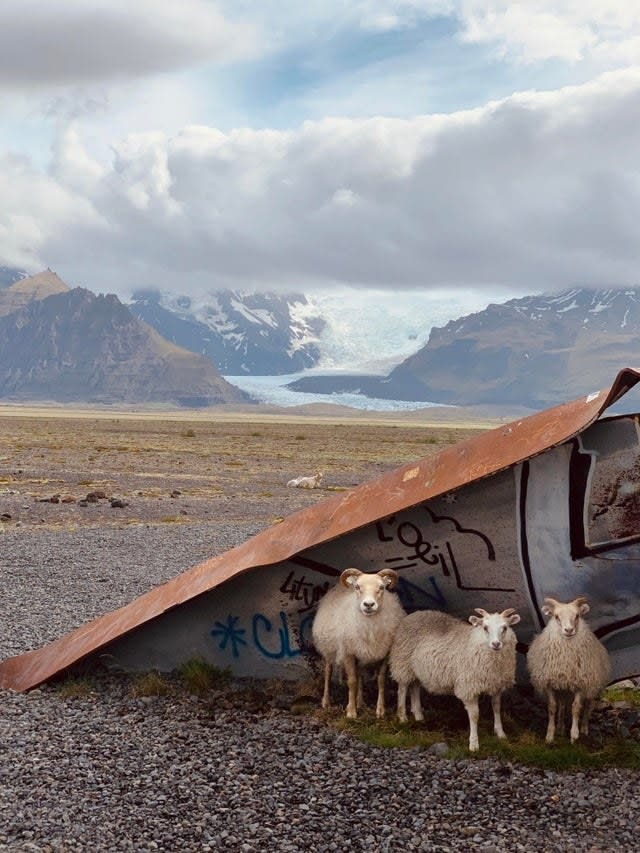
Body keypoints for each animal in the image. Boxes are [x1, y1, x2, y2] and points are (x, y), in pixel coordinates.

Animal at [310, 564, 404, 720]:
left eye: (382, 587)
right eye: (358, 587)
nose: (368, 604)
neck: (370, 627)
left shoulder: (384, 654)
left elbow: (381, 681)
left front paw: (380, 710)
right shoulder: (348, 654)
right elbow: (352, 681)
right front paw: (351, 712)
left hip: (361, 653)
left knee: (360, 675)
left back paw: (360, 702)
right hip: (328, 650)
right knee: (328, 672)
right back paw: (326, 702)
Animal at [388, 604, 524, 752]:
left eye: (505, 627)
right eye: (485, 627)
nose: (496, 644)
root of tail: (414, 614)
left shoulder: (497, 685)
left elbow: (497, 707)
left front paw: (500, 733)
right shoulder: (469, 687)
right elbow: (474, 715)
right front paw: (474, 744)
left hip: (417, 668)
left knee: (415, 687)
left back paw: (418, 716)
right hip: (403, 662)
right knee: (402, 689)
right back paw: (402, 717)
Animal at [528, 596, 612, 744]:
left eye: (577, 615)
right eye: (556, 616)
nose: (568, 630)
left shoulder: (581, 684)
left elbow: (576, 708)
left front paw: (574, 735)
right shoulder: (550, 683)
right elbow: (552, 707)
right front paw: (550, 735)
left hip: (592, 686)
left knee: (588, 706)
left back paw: (584, 728)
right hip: (563, 688)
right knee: (562, 706)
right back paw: (561, 727)